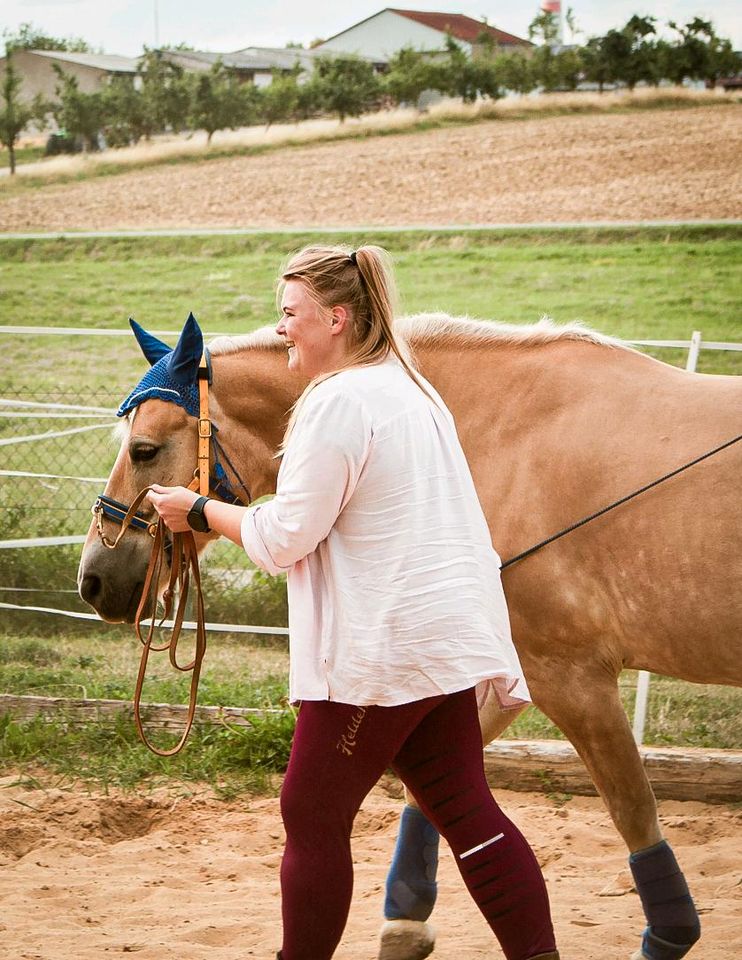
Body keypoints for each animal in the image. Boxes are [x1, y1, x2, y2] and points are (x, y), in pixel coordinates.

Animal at [78, 312, 740, 956]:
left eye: (144, 449)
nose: (93, 580)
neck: (498, 440)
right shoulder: (502, 669)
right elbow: (435, 798)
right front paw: (404, 920)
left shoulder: (571, 676)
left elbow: (633, 809)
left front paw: (670, 934)